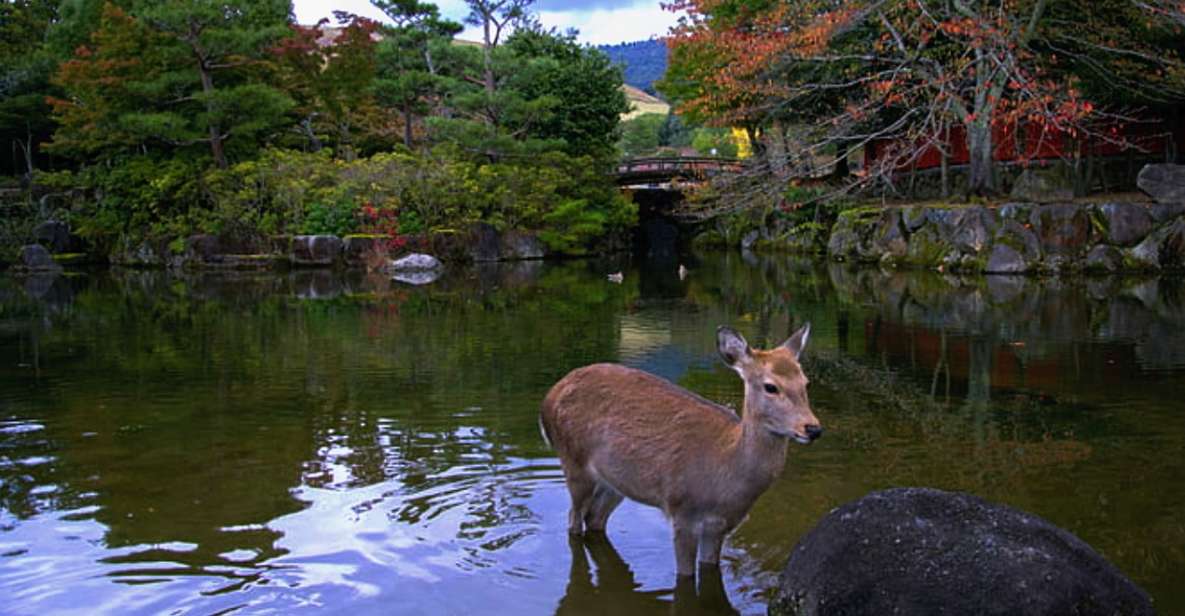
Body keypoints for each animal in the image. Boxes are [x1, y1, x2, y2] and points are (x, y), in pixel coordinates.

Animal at [542, 322, 820, 578]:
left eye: (805, 382)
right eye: (771, 386)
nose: (813, 428)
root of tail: (549, 398)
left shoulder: (721, 525)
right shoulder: (683, 511)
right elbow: (685, 576)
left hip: (617, 482)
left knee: (594, 518)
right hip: (574, 461)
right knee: (574, 519)